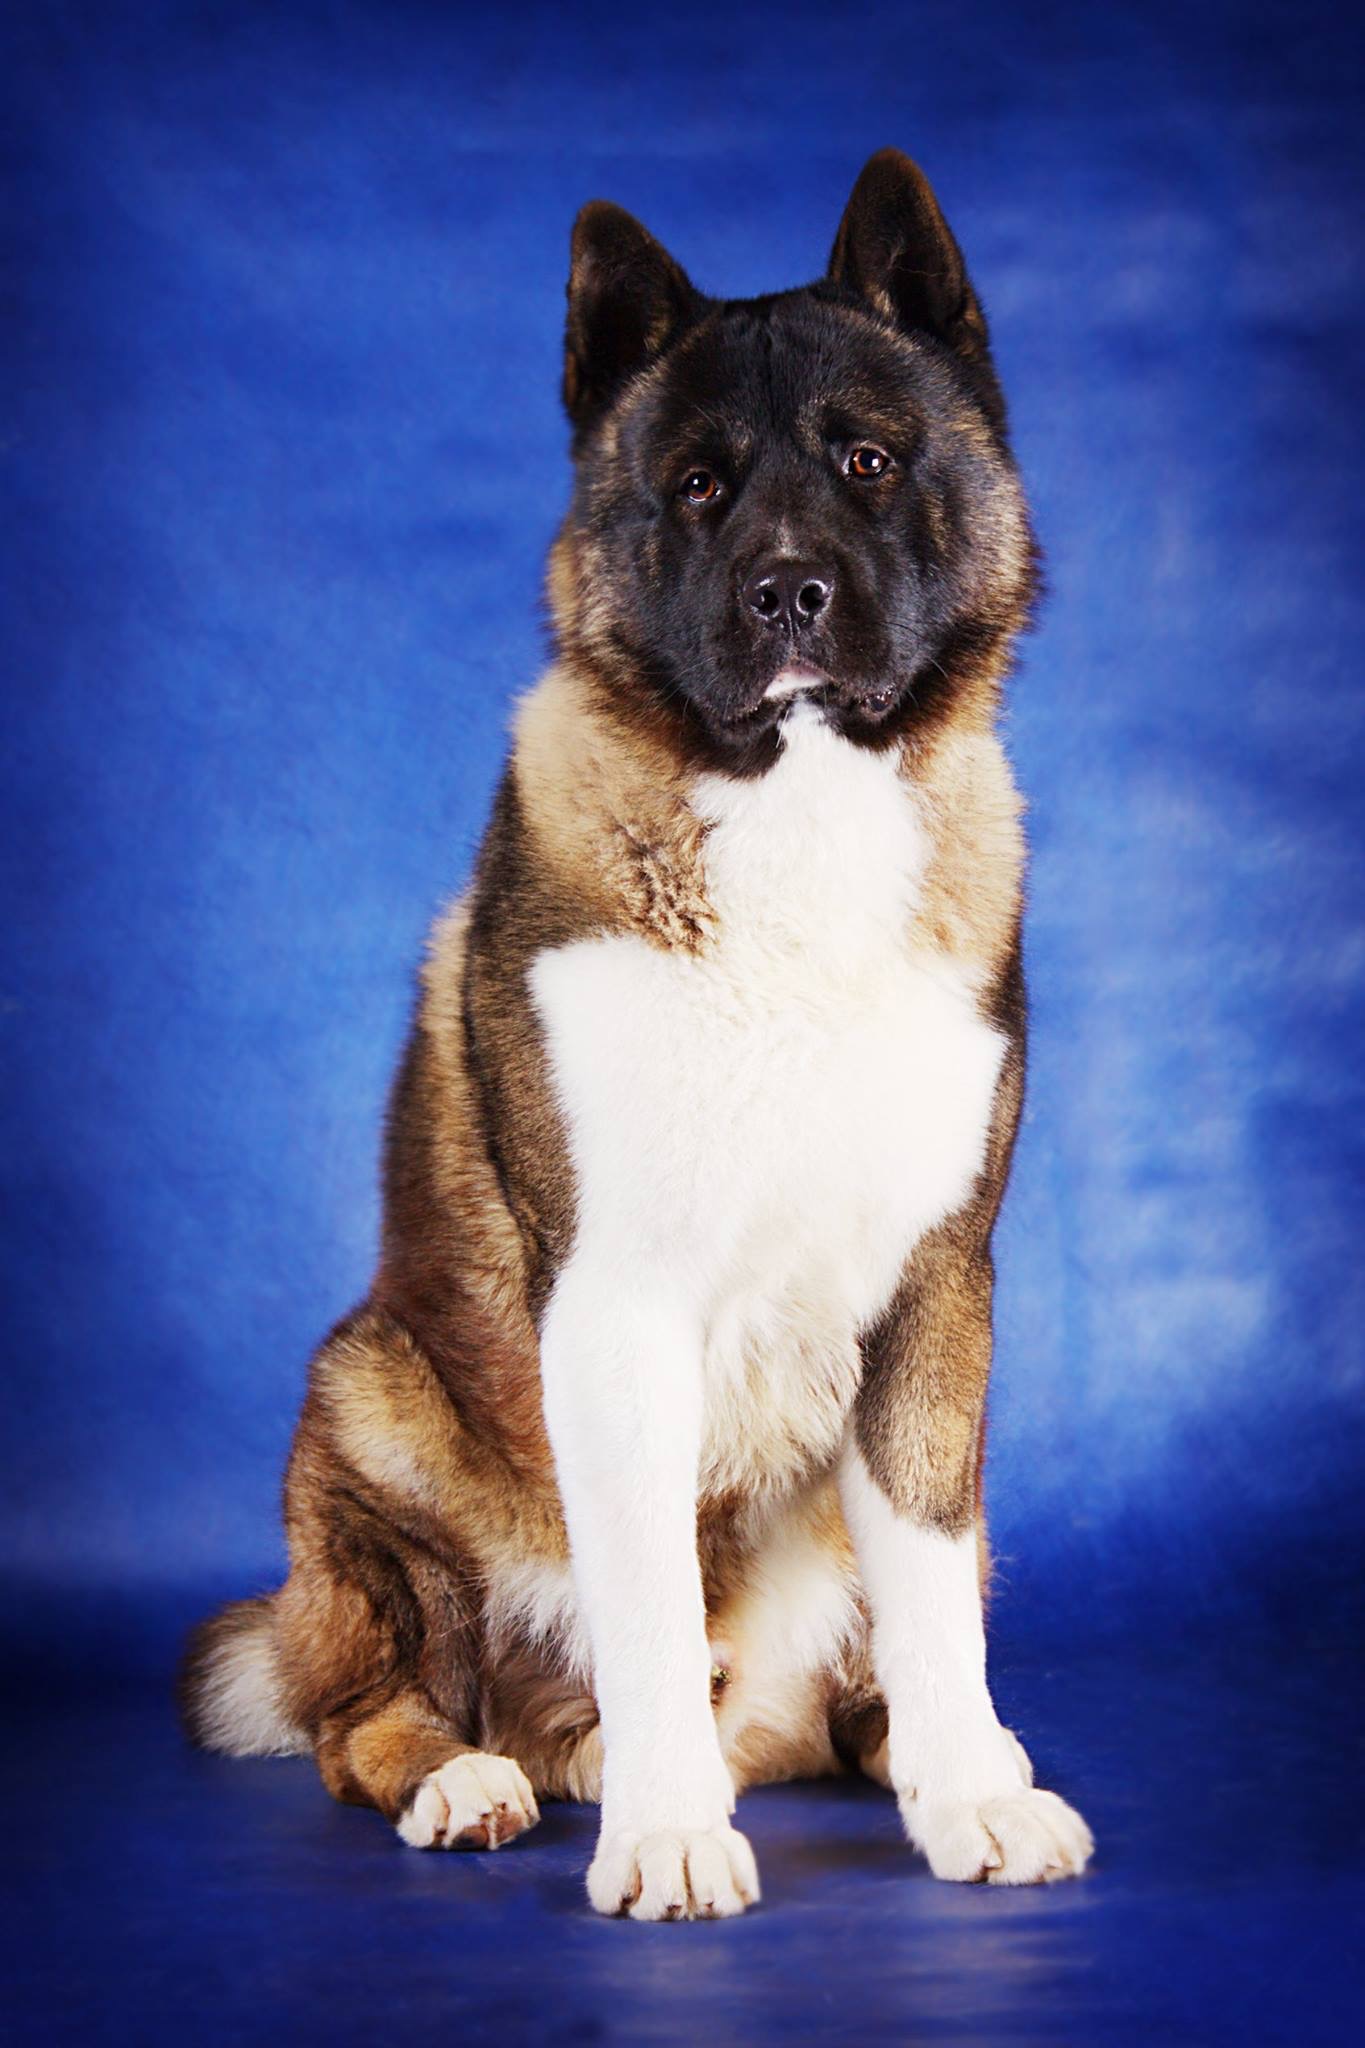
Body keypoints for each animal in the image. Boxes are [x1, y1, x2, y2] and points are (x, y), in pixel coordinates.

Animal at [181, 149, 1094, 1919]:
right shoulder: (612, 1304)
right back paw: (479, 1775)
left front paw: (968, 1793)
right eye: (693, 488)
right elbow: (650, 1598)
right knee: (372, 1708)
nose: (787, 589)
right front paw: (670, 1836)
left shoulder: (936, 1294)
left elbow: (929, 1581)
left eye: (868, 461)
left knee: (862, 1663)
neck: (795, 815)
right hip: (371, 1398)